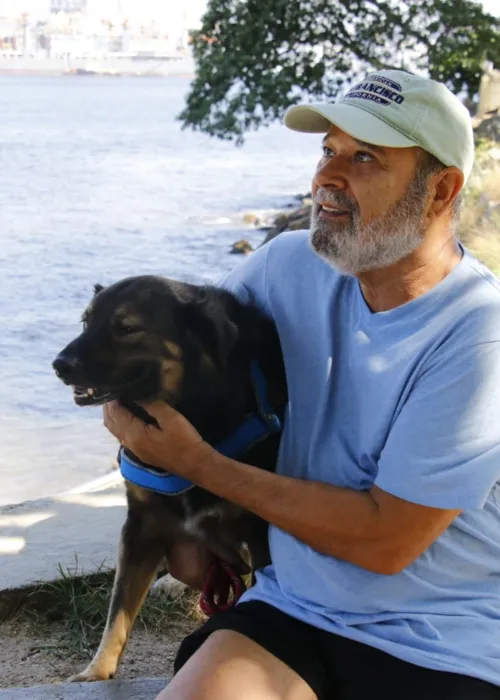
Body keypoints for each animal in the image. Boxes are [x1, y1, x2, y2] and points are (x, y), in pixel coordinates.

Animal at [52, 274, 288, 684]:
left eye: (126, 327)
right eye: (85, 322)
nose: (59, 365)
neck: (193, 406)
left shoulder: (260, 534)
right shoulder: (141, 525)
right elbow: (118, 609)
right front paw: (97, 672)